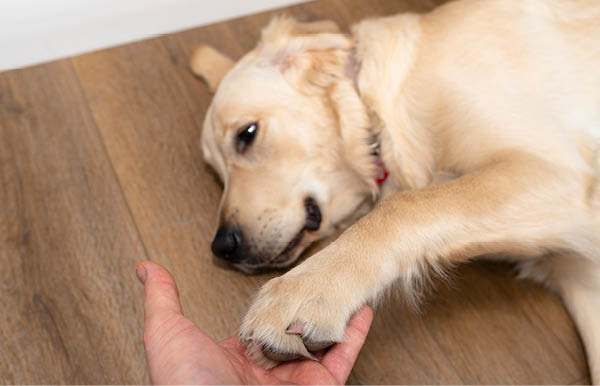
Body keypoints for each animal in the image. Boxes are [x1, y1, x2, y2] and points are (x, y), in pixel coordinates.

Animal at [193, 0, 600, 380]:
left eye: (246, 134)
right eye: (216, 174)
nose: (223, 247)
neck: (376, 114)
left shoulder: (551, 170)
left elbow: (403, 207)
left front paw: (305, 291)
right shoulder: (583, 273)